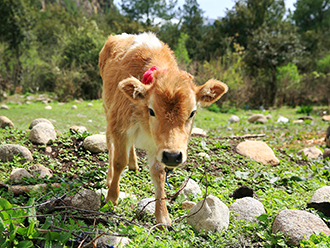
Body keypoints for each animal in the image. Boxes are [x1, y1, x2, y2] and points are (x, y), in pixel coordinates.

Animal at [98, 32, 227, 226]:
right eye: (152, 110)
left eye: (192, 113)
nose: (173, 156)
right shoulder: (119, 126)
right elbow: (119, 162)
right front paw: (111, 198)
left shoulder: (159, 147)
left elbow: (159, 172)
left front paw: (163, 216)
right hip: (108, 110)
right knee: (109, 143)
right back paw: (109, 177)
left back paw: (134, 164)